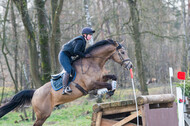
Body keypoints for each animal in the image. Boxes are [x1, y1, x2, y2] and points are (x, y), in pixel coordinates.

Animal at [0, 39, 132, 125]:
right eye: (123, 52)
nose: (130, 65)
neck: (93, 62)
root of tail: (35, 92)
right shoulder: (91, 84)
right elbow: (108, 84)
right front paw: (107, 92)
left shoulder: (101, 78)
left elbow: (113, 77)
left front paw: (110, 90)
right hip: (42, 115)